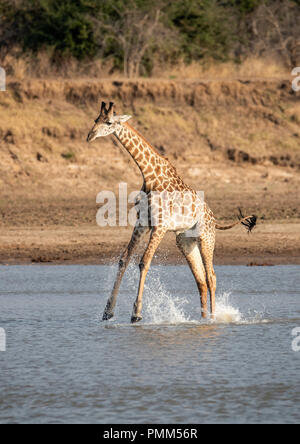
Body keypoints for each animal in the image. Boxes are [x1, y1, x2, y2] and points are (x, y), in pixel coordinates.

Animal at [86, 101, 255, 322]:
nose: (89, 136)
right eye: (95, 119)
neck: (150, 175)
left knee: (211, 277)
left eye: (109, 122)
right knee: (200, 280)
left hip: (206, 238)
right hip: (185, 241)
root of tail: (214, 219)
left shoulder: (160, 225)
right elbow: (124, 259)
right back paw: (202, 319)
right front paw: (108, 311)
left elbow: (144, 261)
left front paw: (136, 313)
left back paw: (213, 317)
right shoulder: (142, 223)